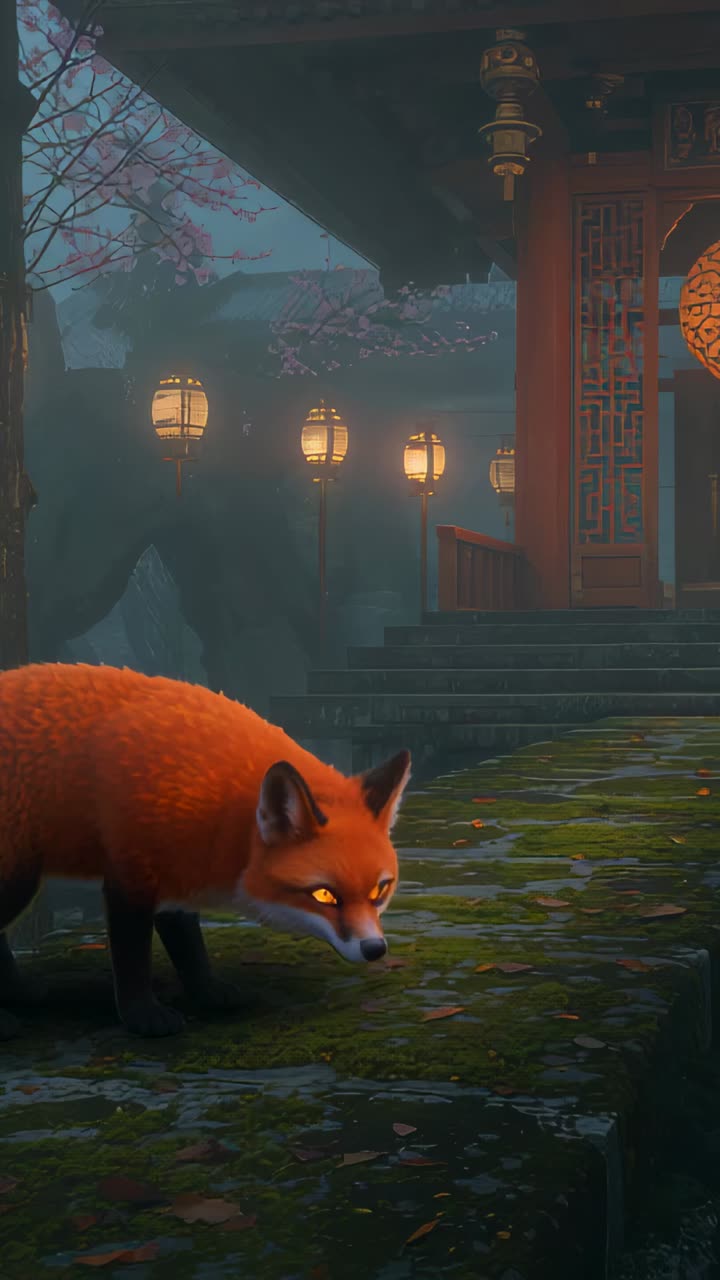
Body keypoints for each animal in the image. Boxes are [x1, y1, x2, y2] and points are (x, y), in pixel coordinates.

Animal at [0, 662, 411, 1040]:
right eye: (324, 895)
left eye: (380, 890)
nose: (375, 949)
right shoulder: (131, 876)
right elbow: (132, 956)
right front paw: (143, 1016)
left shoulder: (179, 872)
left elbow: (189, 948)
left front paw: (207, 992)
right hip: (18, 878)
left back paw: (21, 992)